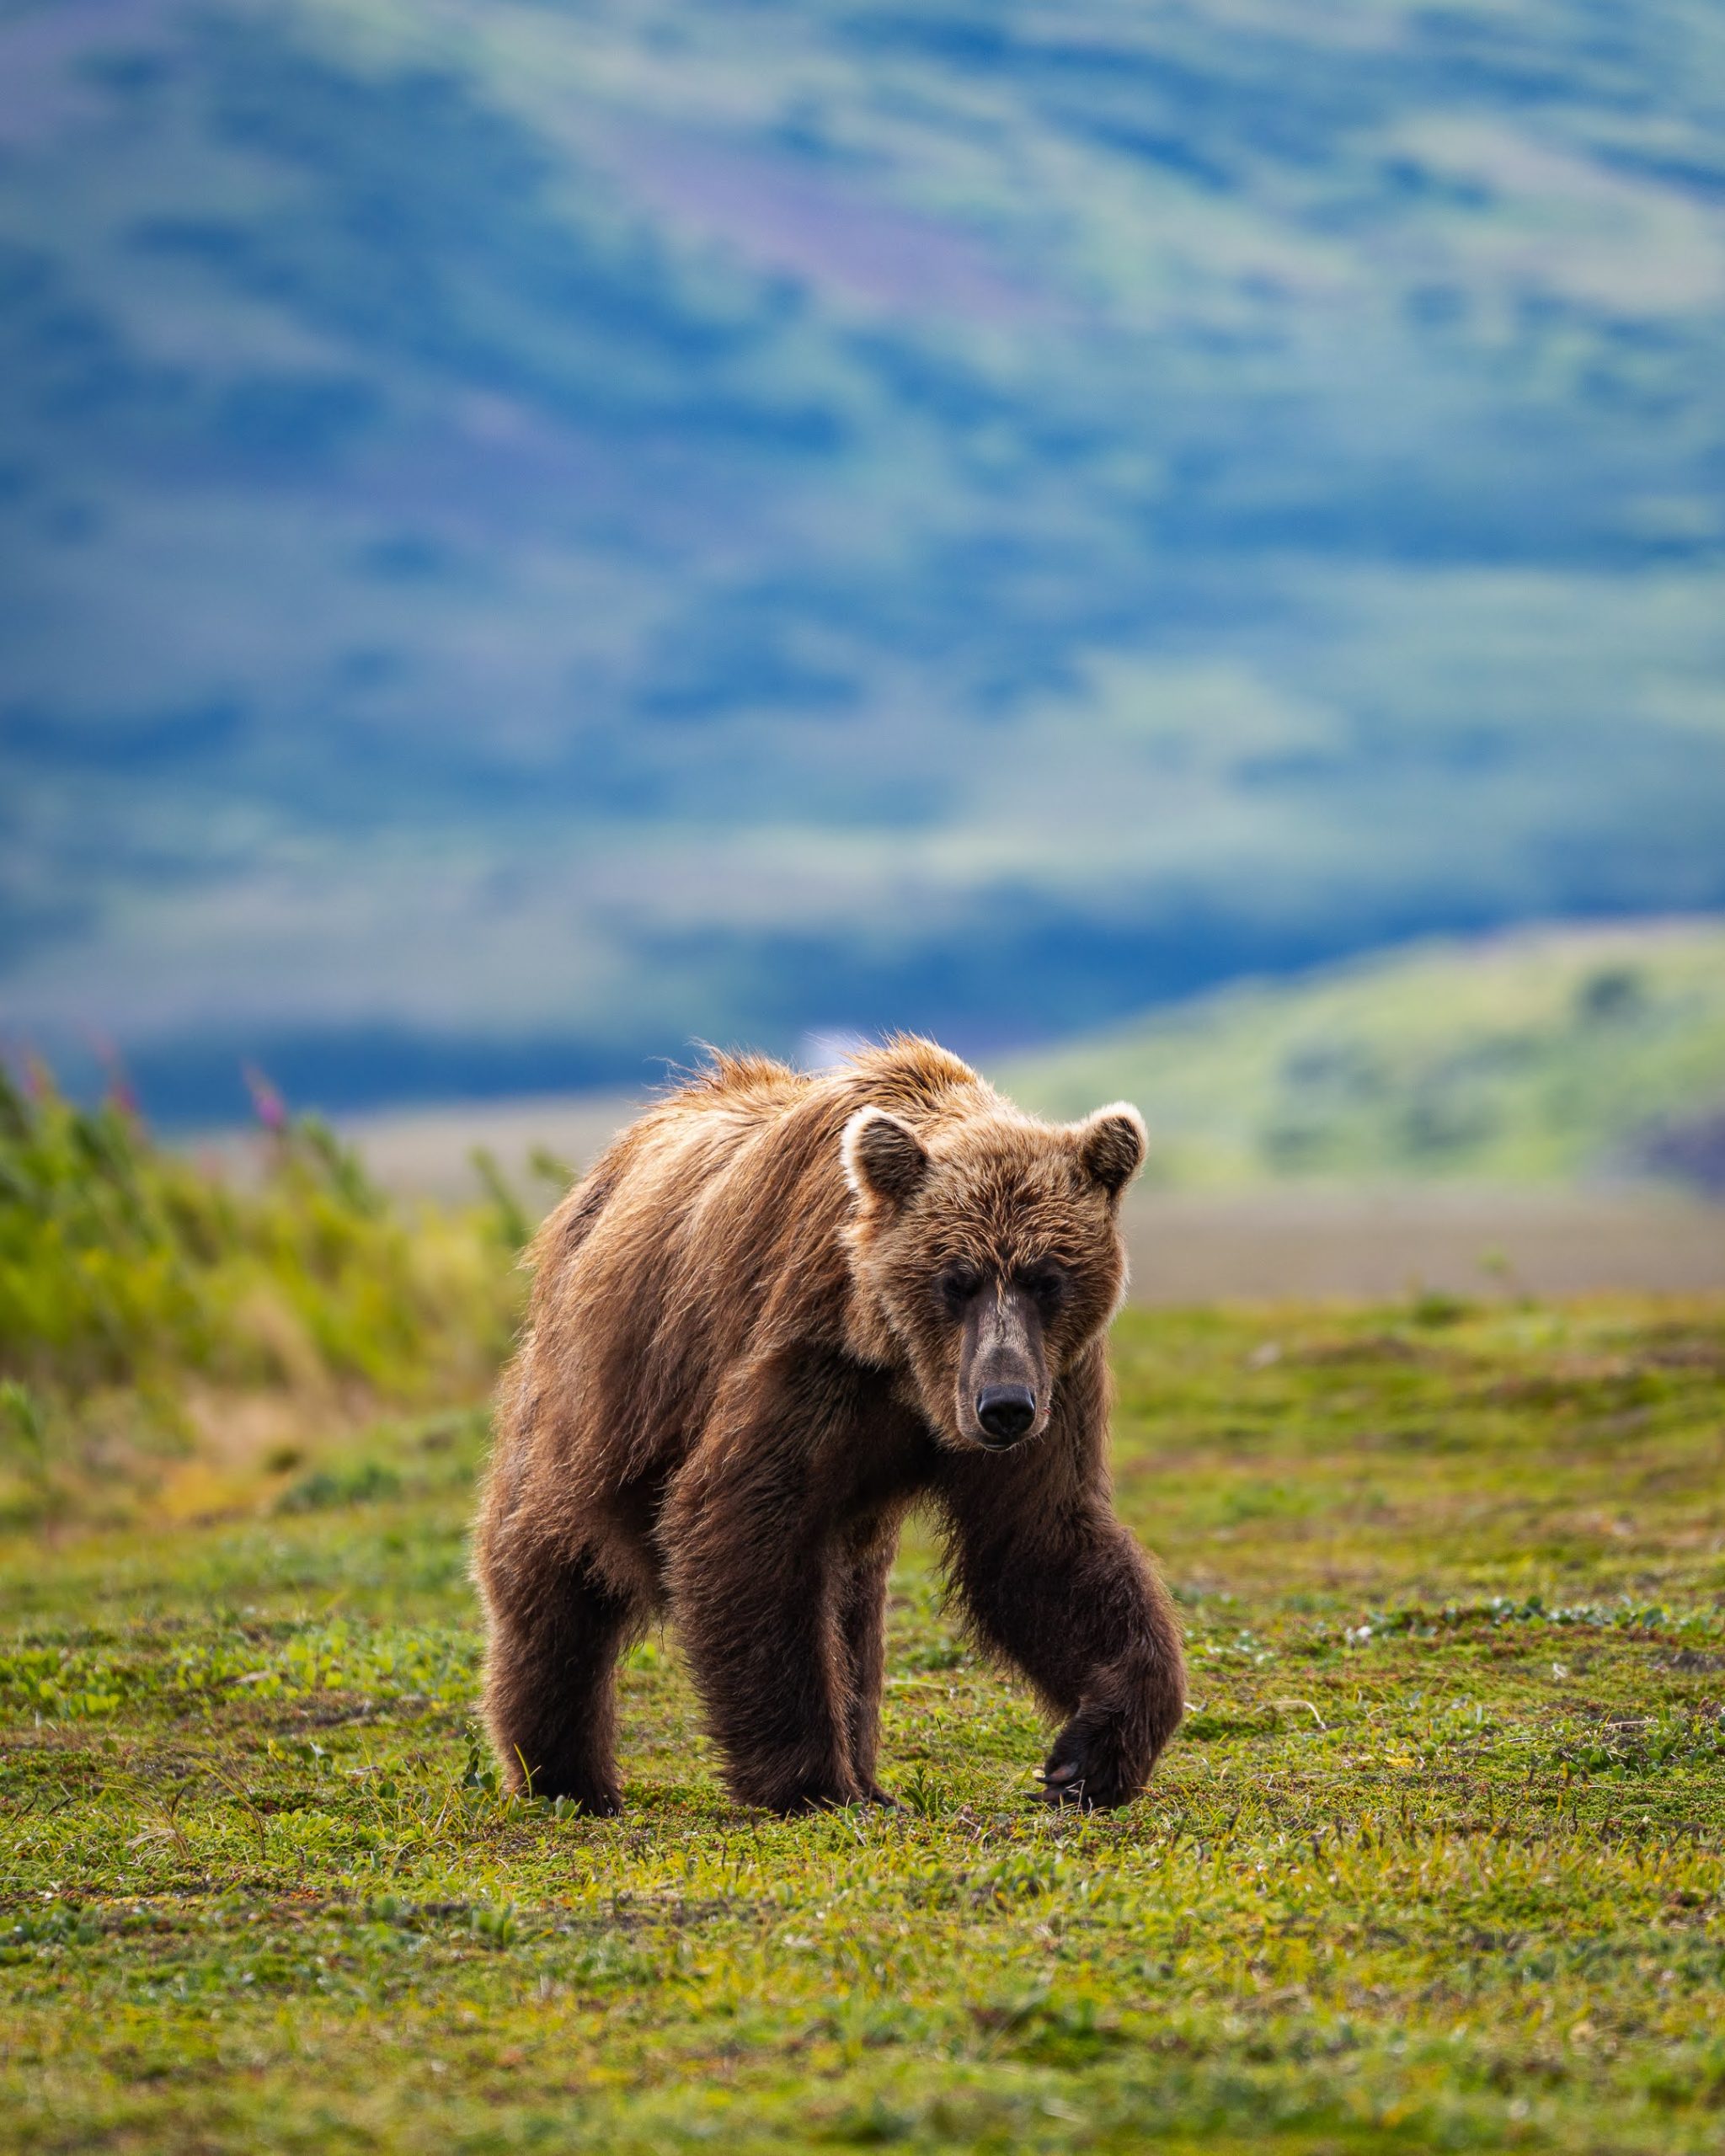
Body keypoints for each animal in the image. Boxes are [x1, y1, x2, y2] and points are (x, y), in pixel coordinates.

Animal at [472, 1036, 1186, 1816]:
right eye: (956, 1279)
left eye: (1047, 1277)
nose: (1004, 1407)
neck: (907, 1373)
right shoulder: (811, 1355)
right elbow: (744, 1521)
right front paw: (809, 1780)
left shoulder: (1054, 1378)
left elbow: (1040, 1541)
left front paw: (1088, 1756)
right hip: (597, 1390)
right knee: (549, 1558)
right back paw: (562, 1773)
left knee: (853, 1602)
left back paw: (872, 1774)